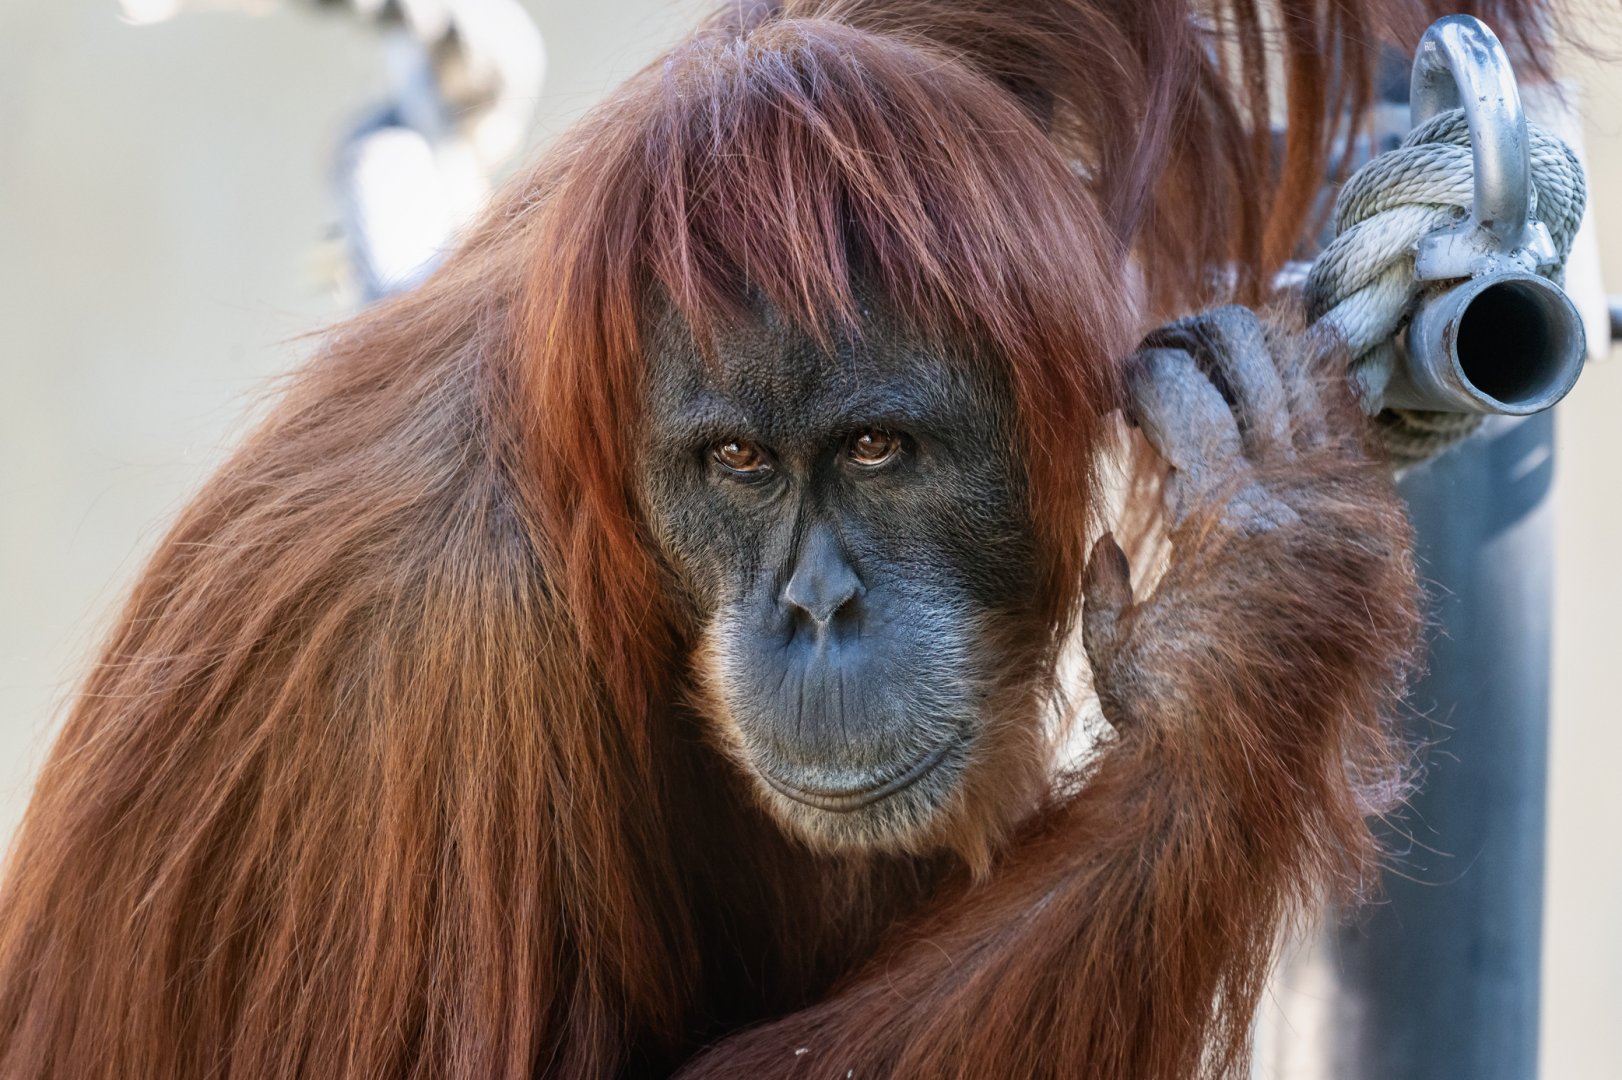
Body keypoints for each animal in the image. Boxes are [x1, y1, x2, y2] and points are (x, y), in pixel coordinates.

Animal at [0, 1, 1557, 1077]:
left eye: (873, 450)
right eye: (738, 464)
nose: (818, 610)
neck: (601, 538)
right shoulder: (417, 695)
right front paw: (1246, 623)